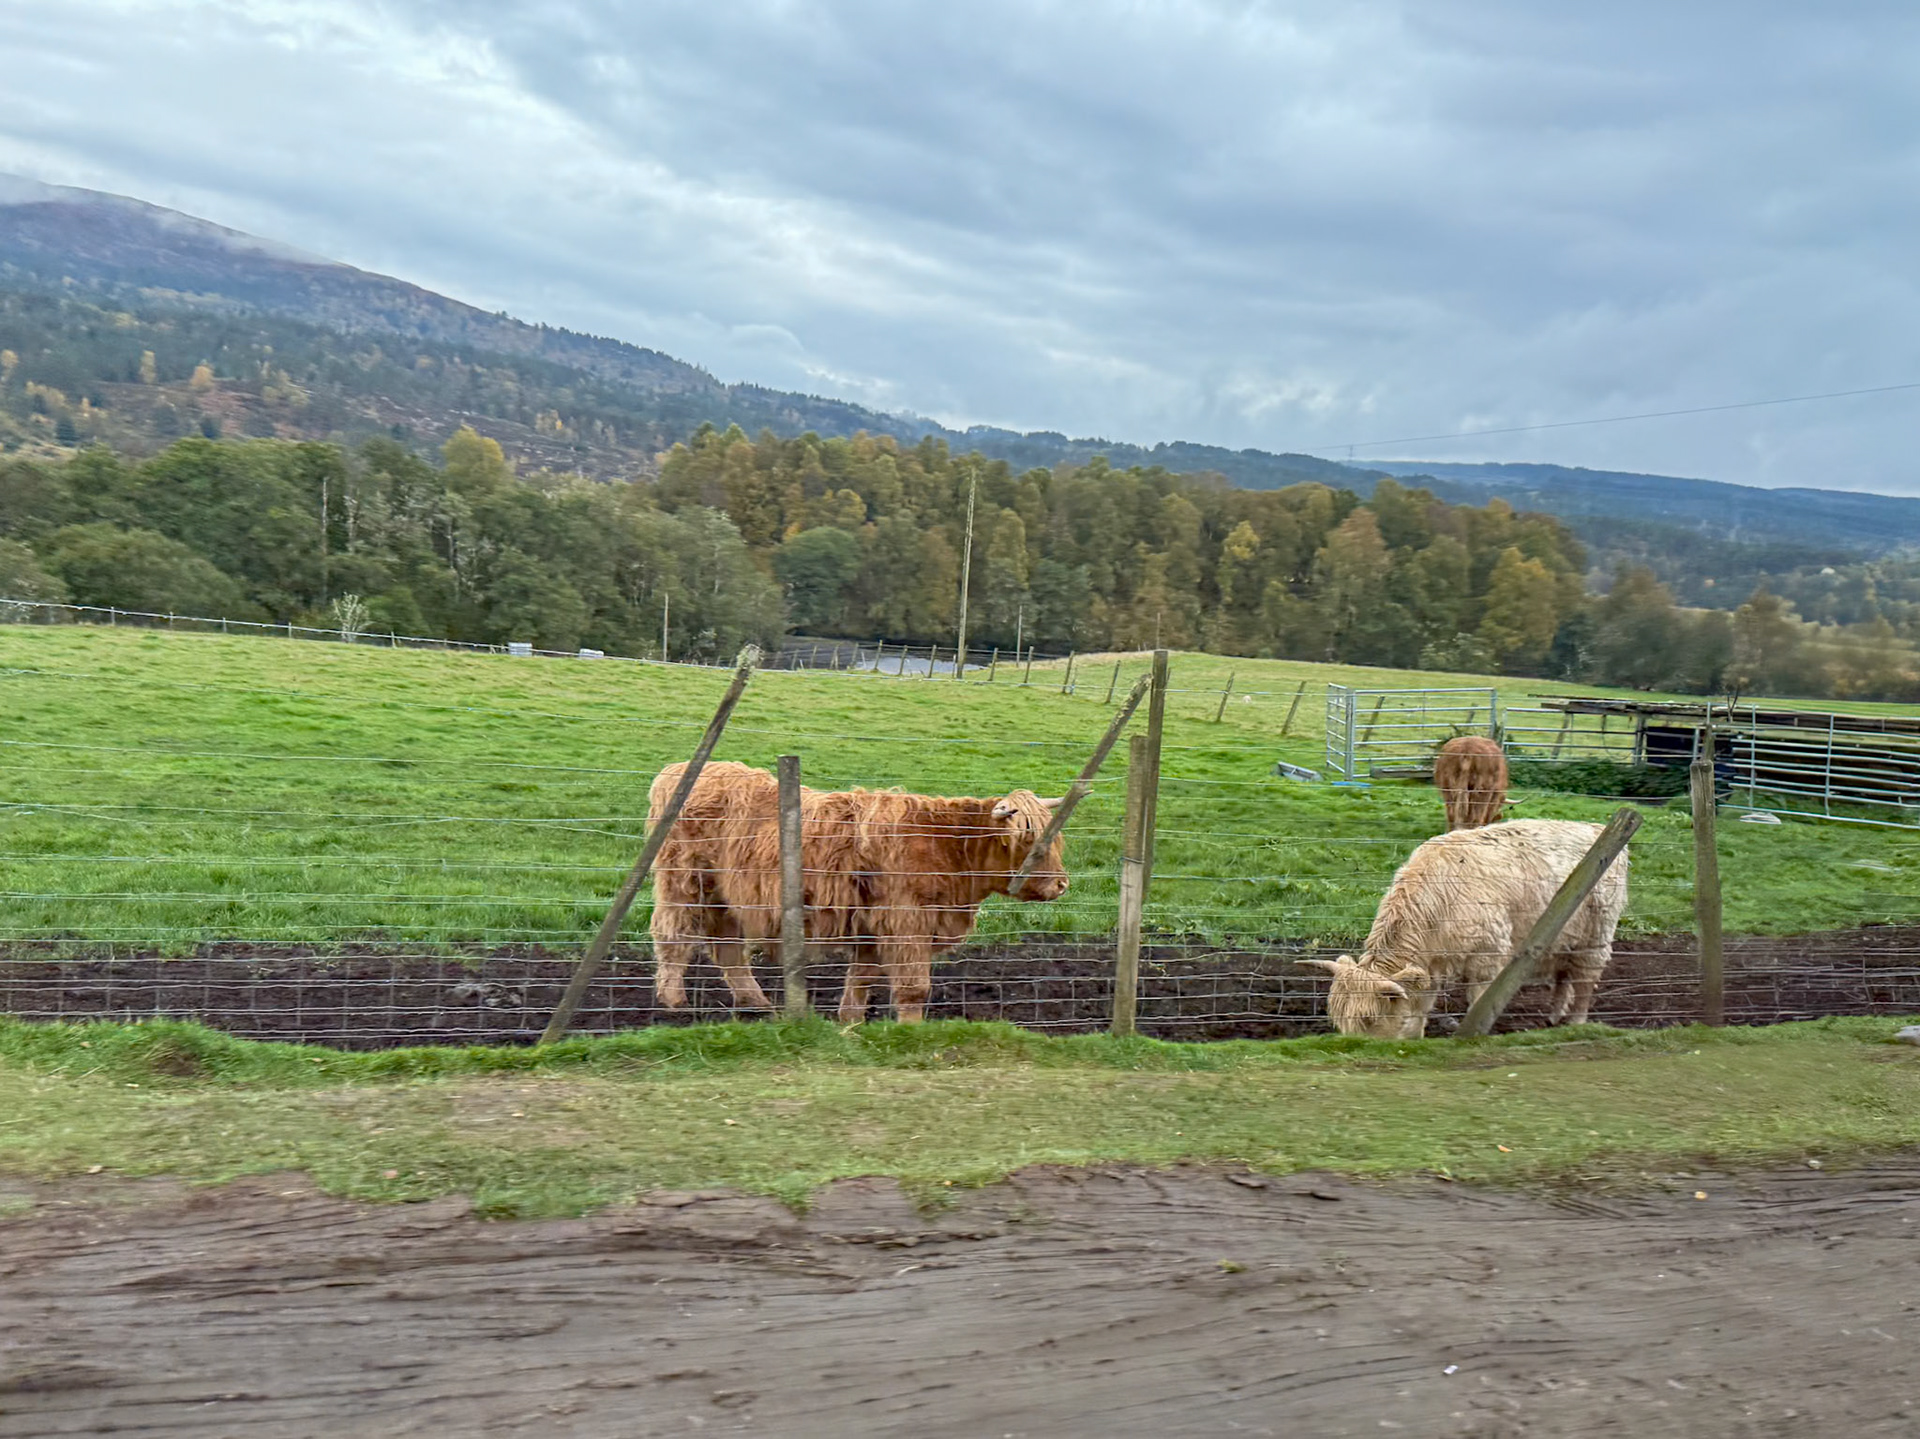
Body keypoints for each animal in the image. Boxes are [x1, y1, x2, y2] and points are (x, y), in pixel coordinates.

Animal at [647, 761, 1068, 1023]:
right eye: (1030, 843)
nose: (1062, 884)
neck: (947, 845)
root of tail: (676, 771)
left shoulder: (873, 925)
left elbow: (862, 977)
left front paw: (849, 1021)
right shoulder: (906, 923)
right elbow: (914, 986)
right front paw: (910, 1031)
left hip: (724, 895)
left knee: (727, 946)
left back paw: (757, 1002)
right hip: (684, 882)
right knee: (673, 936)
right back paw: (675, 1002)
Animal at [1300, 819, 1628, 1039]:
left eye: (1369, 1019)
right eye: (1339, 1020)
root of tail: (1594, 827)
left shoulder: (1487, 957)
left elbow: (1478, 998)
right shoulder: (1430, 966)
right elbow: (1420, 1006)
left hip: (1597, 933)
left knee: (1585, 977)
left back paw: (1575, 1022)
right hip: (1563, 935)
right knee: (1564, 974)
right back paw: (1553, 1016)